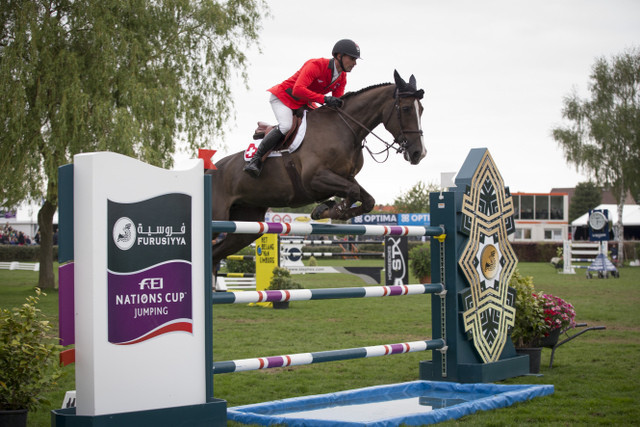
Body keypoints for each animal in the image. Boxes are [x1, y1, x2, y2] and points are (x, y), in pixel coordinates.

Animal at [212, 70, 428, 266]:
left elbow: (367, 200)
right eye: (406, 108)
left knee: (216, 255)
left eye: (422, 109)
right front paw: (328, 210)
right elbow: (352, 192)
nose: (419, 153)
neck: (344, 128)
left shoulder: (345, 176)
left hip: (246, 225)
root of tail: (211, 169)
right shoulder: (314, 179)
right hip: (220, 217)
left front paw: (326, 209)